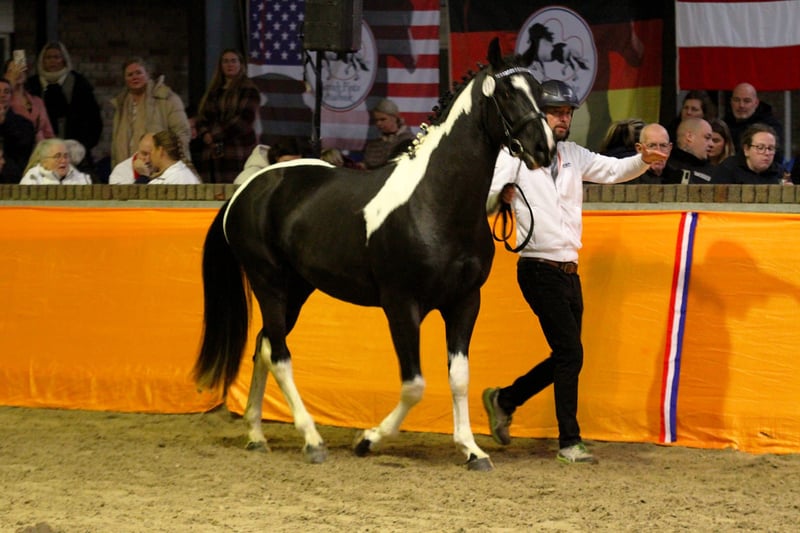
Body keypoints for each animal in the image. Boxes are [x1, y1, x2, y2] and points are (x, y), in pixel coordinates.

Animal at [193, 38, 555, 472]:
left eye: (539, 90)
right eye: (506, 93)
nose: (544, 149)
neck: (435, 201)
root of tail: (248, 188)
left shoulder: (465, 302)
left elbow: (459, 378)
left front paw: (472, 450)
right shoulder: (401, 304)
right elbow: (414, 384)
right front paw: (367, 439)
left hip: (297, 289)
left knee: (264, 345)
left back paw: (256, 435)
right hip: (270, 283)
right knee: (278, 354)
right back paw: (312, 441)